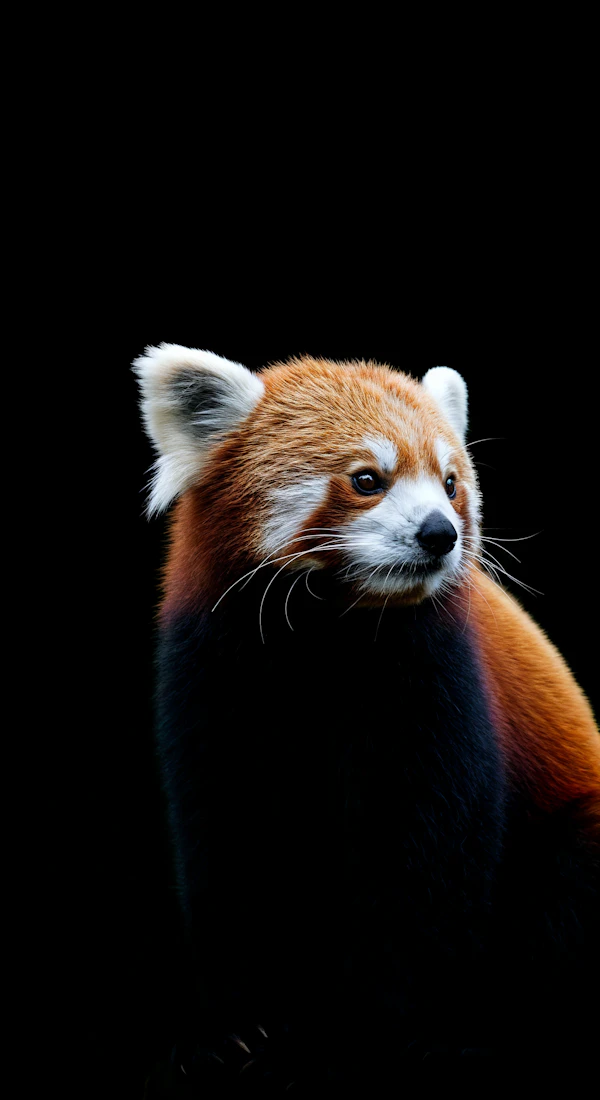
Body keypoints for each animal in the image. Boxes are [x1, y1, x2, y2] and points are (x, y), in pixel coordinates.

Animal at [135, 345, 599, 1091]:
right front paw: (229, 1028)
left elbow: (430, 864)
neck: (328, 639)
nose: (440, 533)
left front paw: (395, 1033)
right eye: (366, 480)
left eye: (450, 482)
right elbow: (227, 846)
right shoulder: (210, 681)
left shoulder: (440, 688)